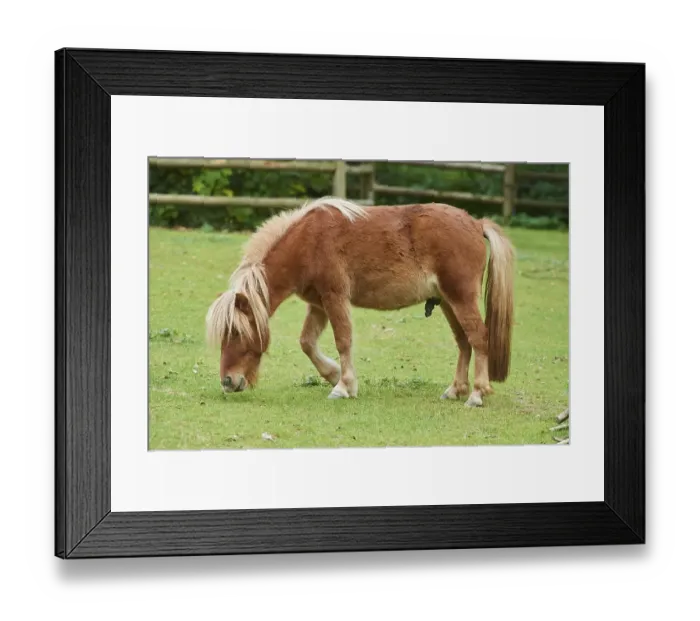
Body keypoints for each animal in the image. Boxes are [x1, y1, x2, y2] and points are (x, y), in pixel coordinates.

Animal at [205, 196, 515, 407]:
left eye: (236, 332)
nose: (227, 382)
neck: (308, 243)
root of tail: (475, 223)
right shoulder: (318, 304)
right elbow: (307, 342)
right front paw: (333, 375)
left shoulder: (334, 297)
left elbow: (343, 340)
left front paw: (343, 386)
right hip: (449, 302)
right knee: (464, 342)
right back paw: (456, 389)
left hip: (461, 298)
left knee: (479, 338)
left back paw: (476, 394)